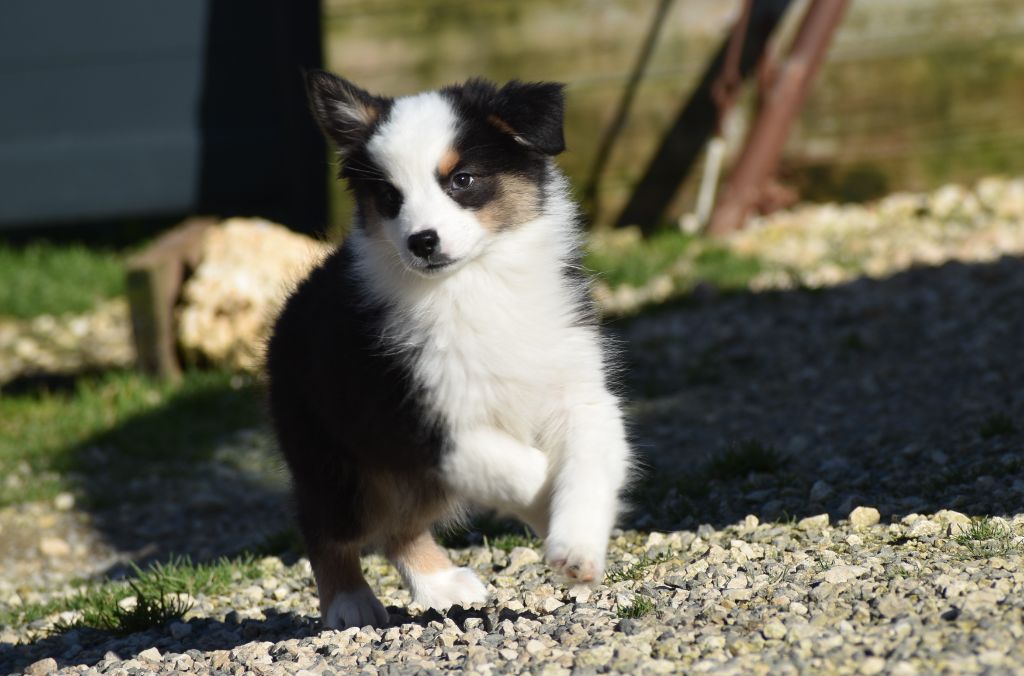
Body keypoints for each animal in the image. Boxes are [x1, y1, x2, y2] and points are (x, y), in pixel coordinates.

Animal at [264, 71, 630, 630]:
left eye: (462, 180)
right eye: (388, 196)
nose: (423, 242)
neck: (476, 282)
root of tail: (293, 304)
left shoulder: (578, 391)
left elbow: (586, 464)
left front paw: (575, 548)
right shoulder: (423, 420)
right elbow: (523, 467)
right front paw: (544, 509)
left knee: (398, 526)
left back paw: (440, 583)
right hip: (333, 454)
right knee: (330, 526)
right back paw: (349, 602)